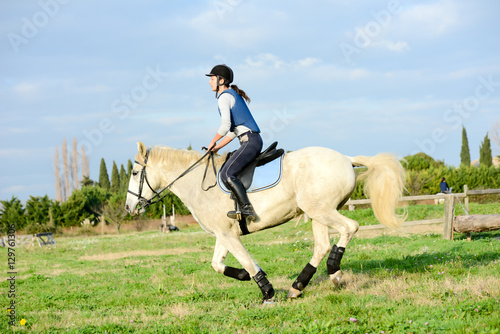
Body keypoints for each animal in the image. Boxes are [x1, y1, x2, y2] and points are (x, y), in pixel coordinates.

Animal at [125, 141, 406, 302]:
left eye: (135, 172)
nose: (129, 208)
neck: (198, 184)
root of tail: (347, 159)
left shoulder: (228, 235)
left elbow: (247, 263)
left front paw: (267, 293)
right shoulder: (224, 234)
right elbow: (218, 264)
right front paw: (242, 276)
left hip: (321, 210)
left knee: (349, 228)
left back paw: (333, 271)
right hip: (317, 212)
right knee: (322, 245)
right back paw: (298, 287)